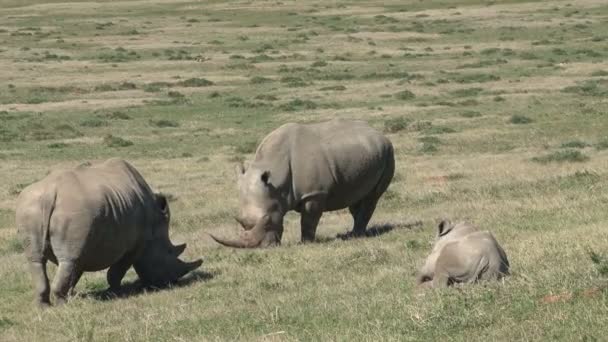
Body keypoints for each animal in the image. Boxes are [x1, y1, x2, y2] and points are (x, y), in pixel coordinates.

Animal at [15, 158, 202, 304]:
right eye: (169, 253)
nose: (173, 282)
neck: (155, 228)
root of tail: (50, 193)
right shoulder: (135, 245)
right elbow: (116, 272)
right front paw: (115, 294)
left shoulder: (84, 244)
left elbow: (75, 272)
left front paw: (73, 294)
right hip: (71, 211)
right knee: (65, 261)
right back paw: (63, 305)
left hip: (30, 207)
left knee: (38, 260)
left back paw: (45, 306)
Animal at [211, 119, 396, 247]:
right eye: (241, 222)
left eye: (268, 220)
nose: (264, 247)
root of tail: (381, 134)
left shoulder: (314, 193)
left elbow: (308, 220)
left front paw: (305, 243)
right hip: (368, 154)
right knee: (356, 198)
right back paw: (353, 234)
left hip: (388, 152)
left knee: (372, 197)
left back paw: (356, 235)